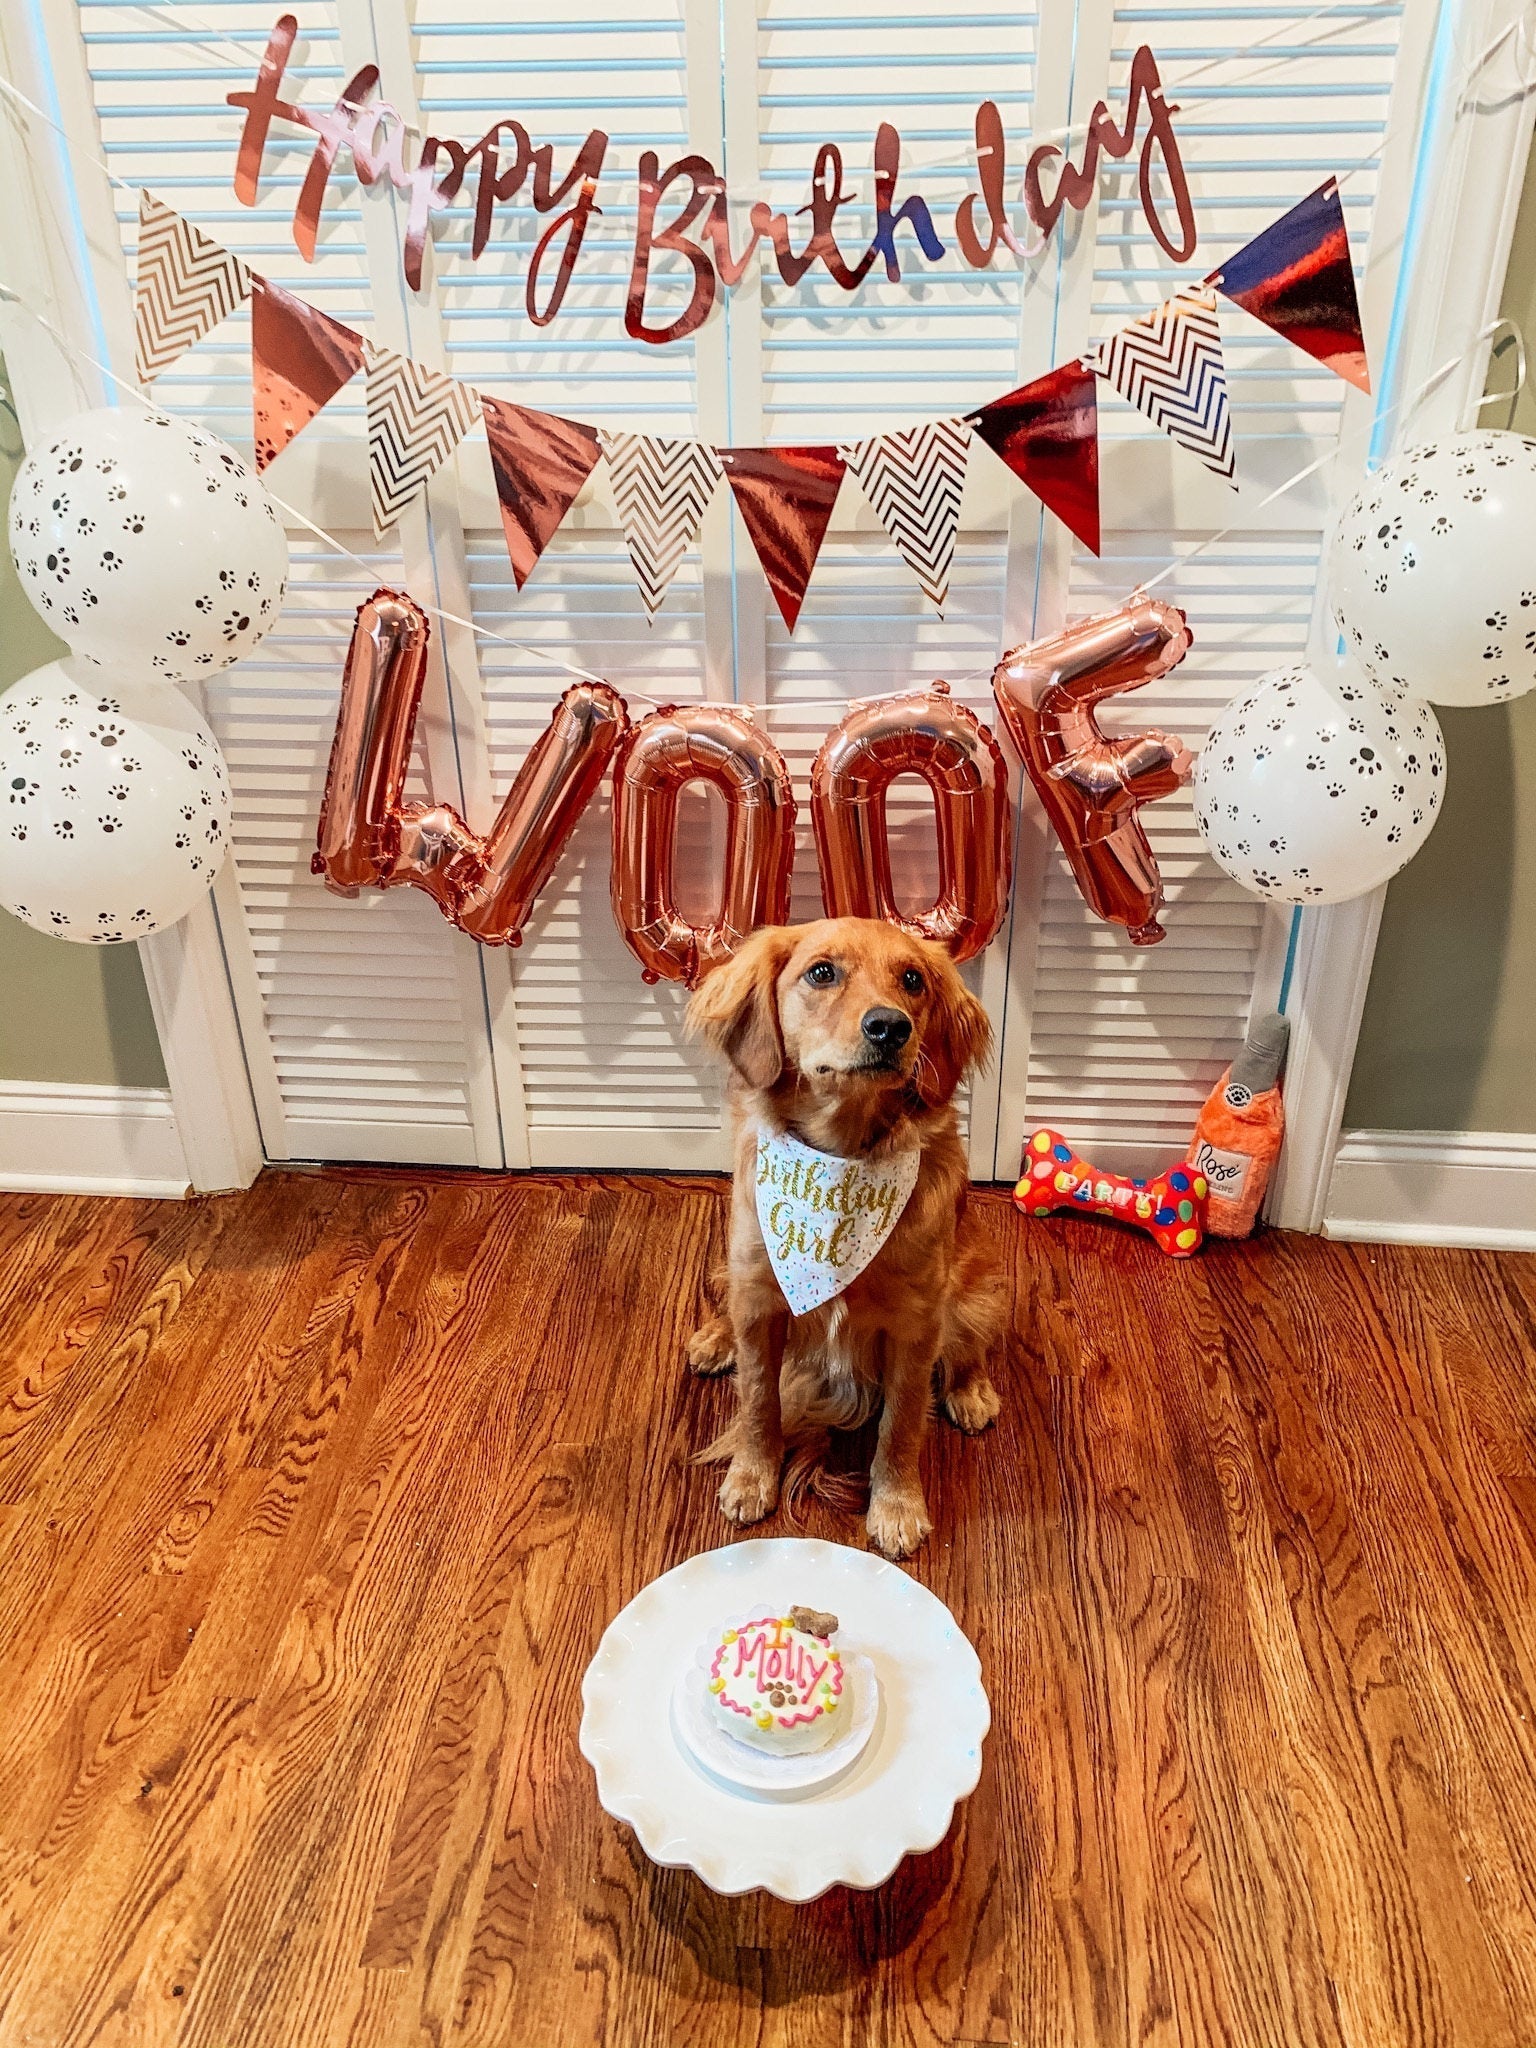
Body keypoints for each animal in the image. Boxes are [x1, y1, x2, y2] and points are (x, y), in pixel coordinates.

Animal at [684, 913, 1011, 1548]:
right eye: (821, 972)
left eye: (913, 980)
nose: (890, 1027)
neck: (840, 1159)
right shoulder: (760, 1295)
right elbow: (758, 1400)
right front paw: (751, 1477)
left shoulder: (916, 1322)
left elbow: (902, 1423)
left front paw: (897, 1505)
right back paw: (715, 1339)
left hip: (974, 1282)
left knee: (970, 1341)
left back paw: (970, 1390)